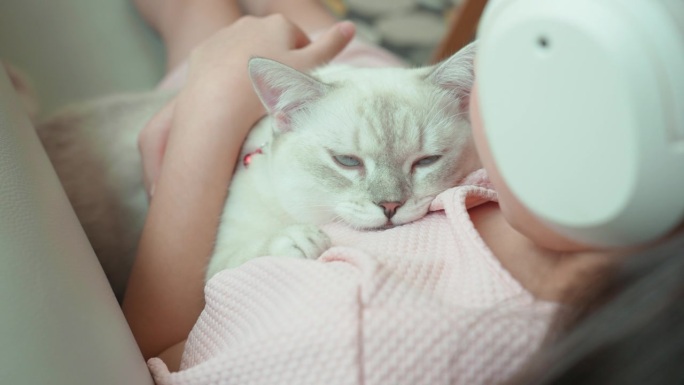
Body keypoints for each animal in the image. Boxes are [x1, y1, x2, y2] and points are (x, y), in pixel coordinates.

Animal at [34, 42, 478, 298]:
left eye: (426, 161)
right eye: (347, 161)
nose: (390, 207)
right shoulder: (215, 265)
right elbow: (259, 247)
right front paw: (303, 240)